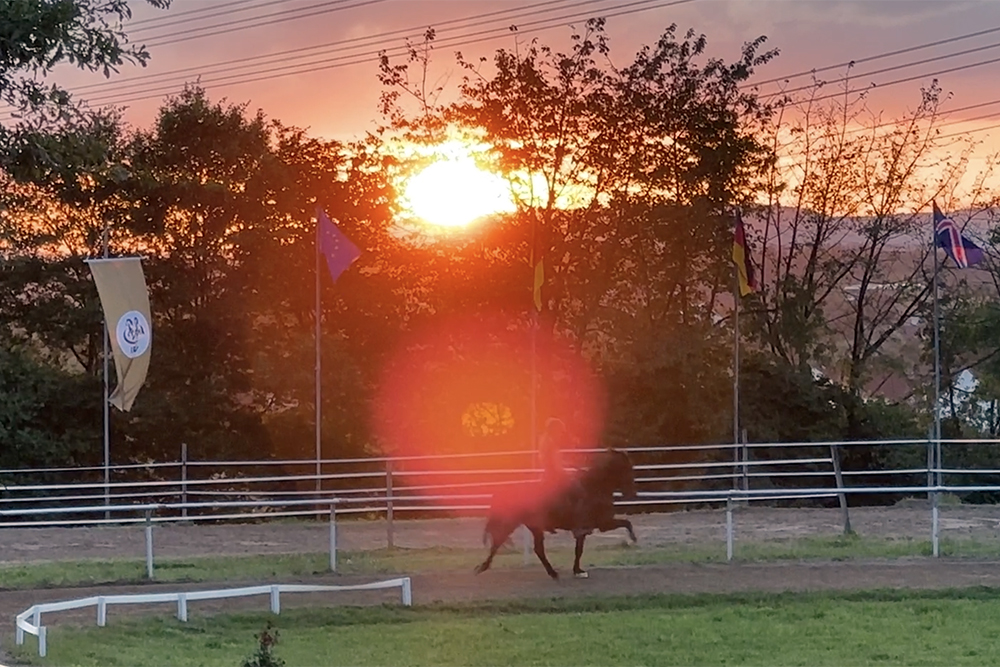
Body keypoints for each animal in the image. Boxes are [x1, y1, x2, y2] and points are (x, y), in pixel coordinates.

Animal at [472, 448, 636, 580]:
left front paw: (578, 570)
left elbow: (579, 550)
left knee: (534, 549)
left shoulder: (589, 528)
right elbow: (626, 523)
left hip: (534, 528)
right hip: (512, 524)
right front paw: (633, 539)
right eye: (627, 469)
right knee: (499, 543)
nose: (632, 493)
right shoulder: (603, 523)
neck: (594, 487)